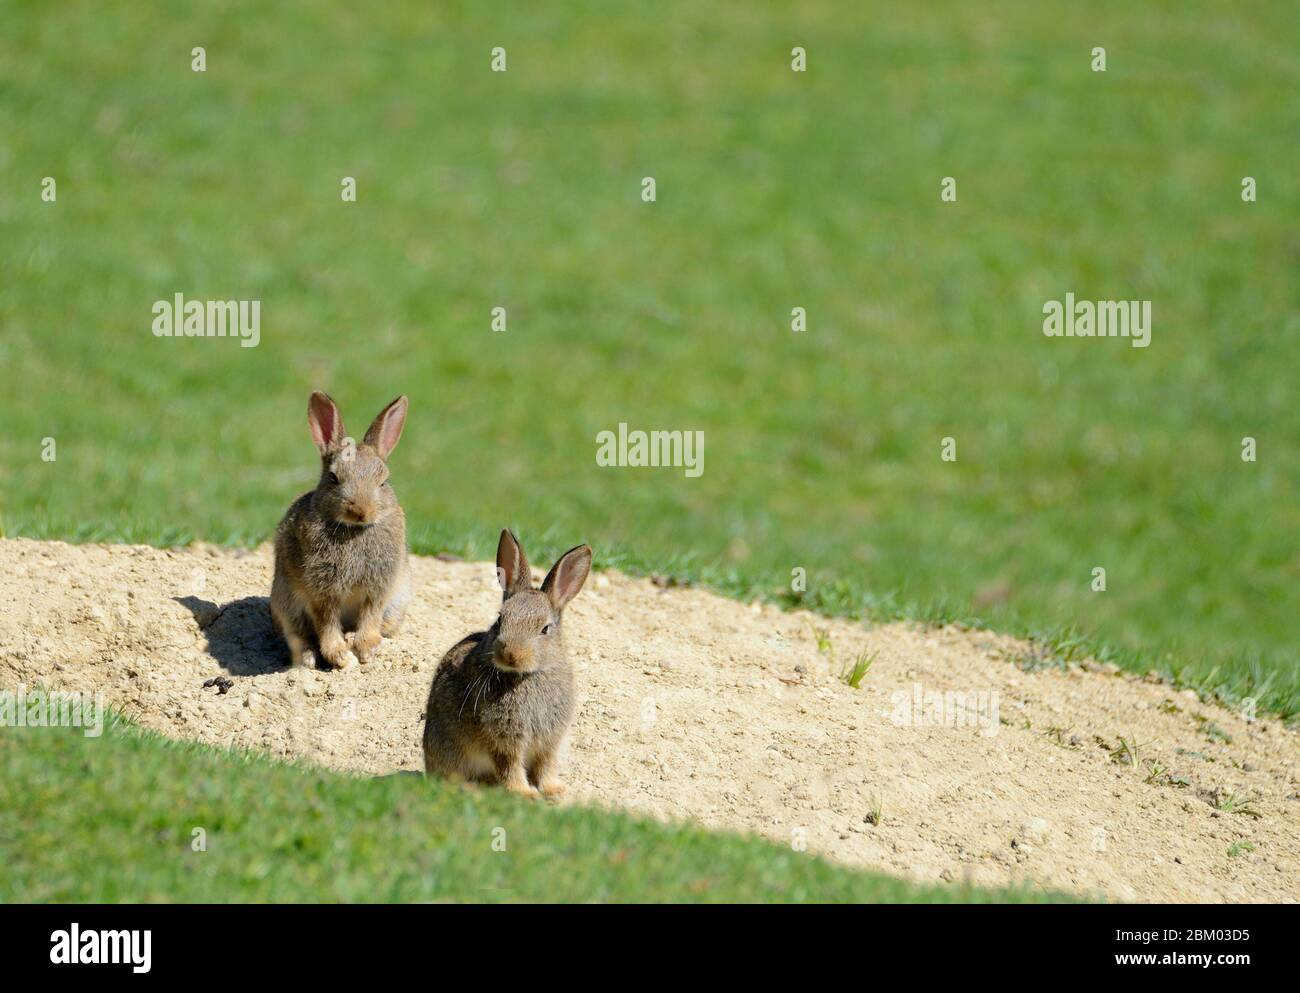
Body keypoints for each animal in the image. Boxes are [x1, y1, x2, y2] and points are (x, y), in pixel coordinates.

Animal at [273, 392, 410, 670]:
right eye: (333, 478)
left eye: (383, 482)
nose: (361, 511)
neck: (355, 530)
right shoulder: (322, 589)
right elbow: (326, 620)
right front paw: (339, 655)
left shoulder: (378, 586)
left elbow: (370, 615)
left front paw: (366, 648)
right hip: (287, 608)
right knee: (299, 639)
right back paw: (310, 658)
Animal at [423, 527, 592, 800]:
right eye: (500, 620)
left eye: (545, 629)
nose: (511, 655)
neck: (527, 675)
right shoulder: (504, 738)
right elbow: (509, 765)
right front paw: (525, 794)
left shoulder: (550, 740)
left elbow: (546, 765)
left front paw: (554, 791)